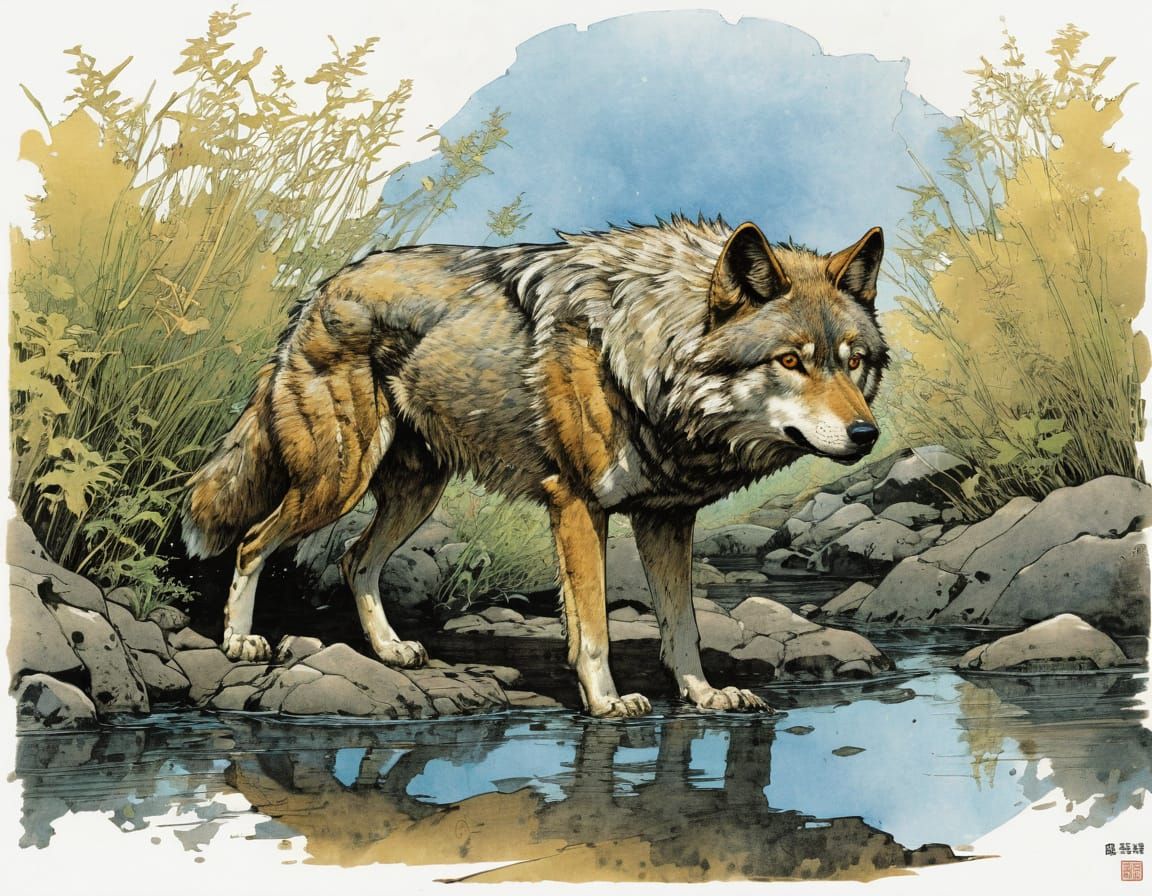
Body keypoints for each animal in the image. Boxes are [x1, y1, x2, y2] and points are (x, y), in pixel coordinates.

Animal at [182, 216, 888, 717]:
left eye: (853, 361)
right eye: (791, 360)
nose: (867, 434)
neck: (644, 361)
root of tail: (320, 291)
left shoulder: (666, 519)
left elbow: (680, 625)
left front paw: (704, 695)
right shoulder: (577, 505)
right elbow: (594, 625)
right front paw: (606, 702)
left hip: (414, 494)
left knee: (355, 559)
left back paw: (389, 650)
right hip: (336, 482)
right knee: (251, 541)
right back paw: (239, 642)